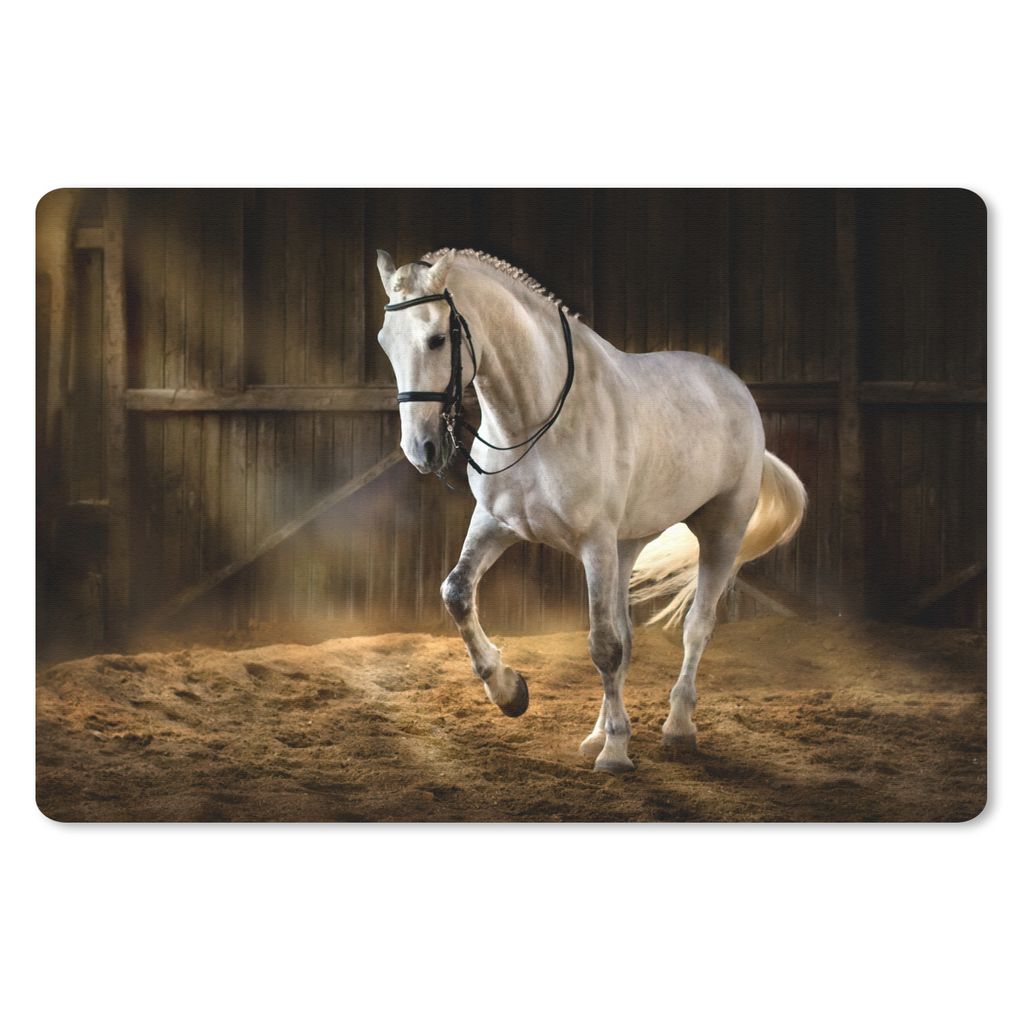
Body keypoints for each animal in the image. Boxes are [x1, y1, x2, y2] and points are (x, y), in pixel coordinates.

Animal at [374, 247, 806, 773]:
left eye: (437, 339)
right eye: (385, 342)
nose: (421, 449)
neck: (536, 420)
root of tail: (735, 387)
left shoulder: (594, 544)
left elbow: (603, 646)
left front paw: (616, 754)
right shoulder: (496, 525)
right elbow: (456, 593)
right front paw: (510, 693)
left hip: (720, 530)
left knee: (696, 628)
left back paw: (676, 728)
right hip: (627, 546)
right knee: (627, 635)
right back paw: (597, 734)